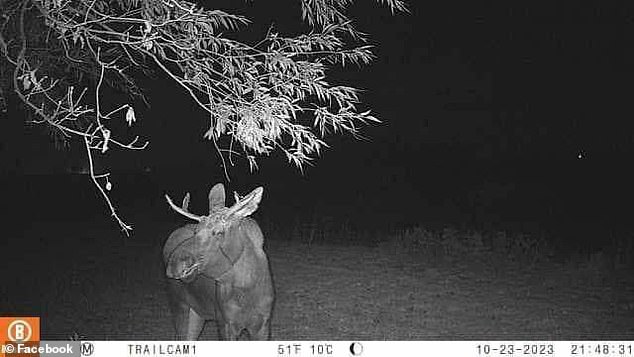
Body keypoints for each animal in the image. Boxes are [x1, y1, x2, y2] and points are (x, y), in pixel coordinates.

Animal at [162, 184, 272, 340]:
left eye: (220, 232)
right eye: (196, 230)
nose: (174, 264)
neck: (246, 290)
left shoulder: (263, 323)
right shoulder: (224, 322)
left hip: (197, 313)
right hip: (180, 305)